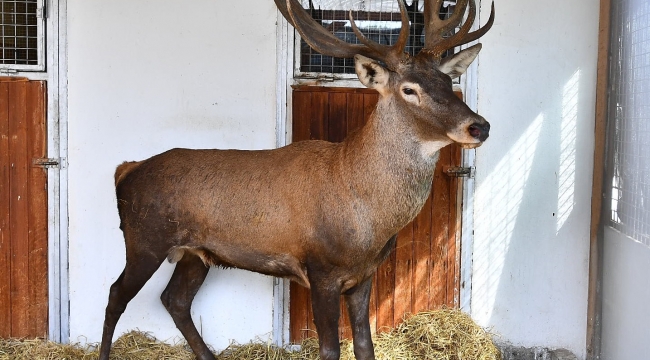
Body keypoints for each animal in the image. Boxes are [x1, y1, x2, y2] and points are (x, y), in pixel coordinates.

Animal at [97, 0, 492, 360]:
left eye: (447, 81)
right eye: (409, 89)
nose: (479, 126)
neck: (367, 217)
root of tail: (125, 169)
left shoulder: (364, 275)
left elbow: (365, 346)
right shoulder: (321, 270)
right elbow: (330, 349)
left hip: (196, 253)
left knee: (175, 299)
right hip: (144, 239)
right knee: (116, 294)